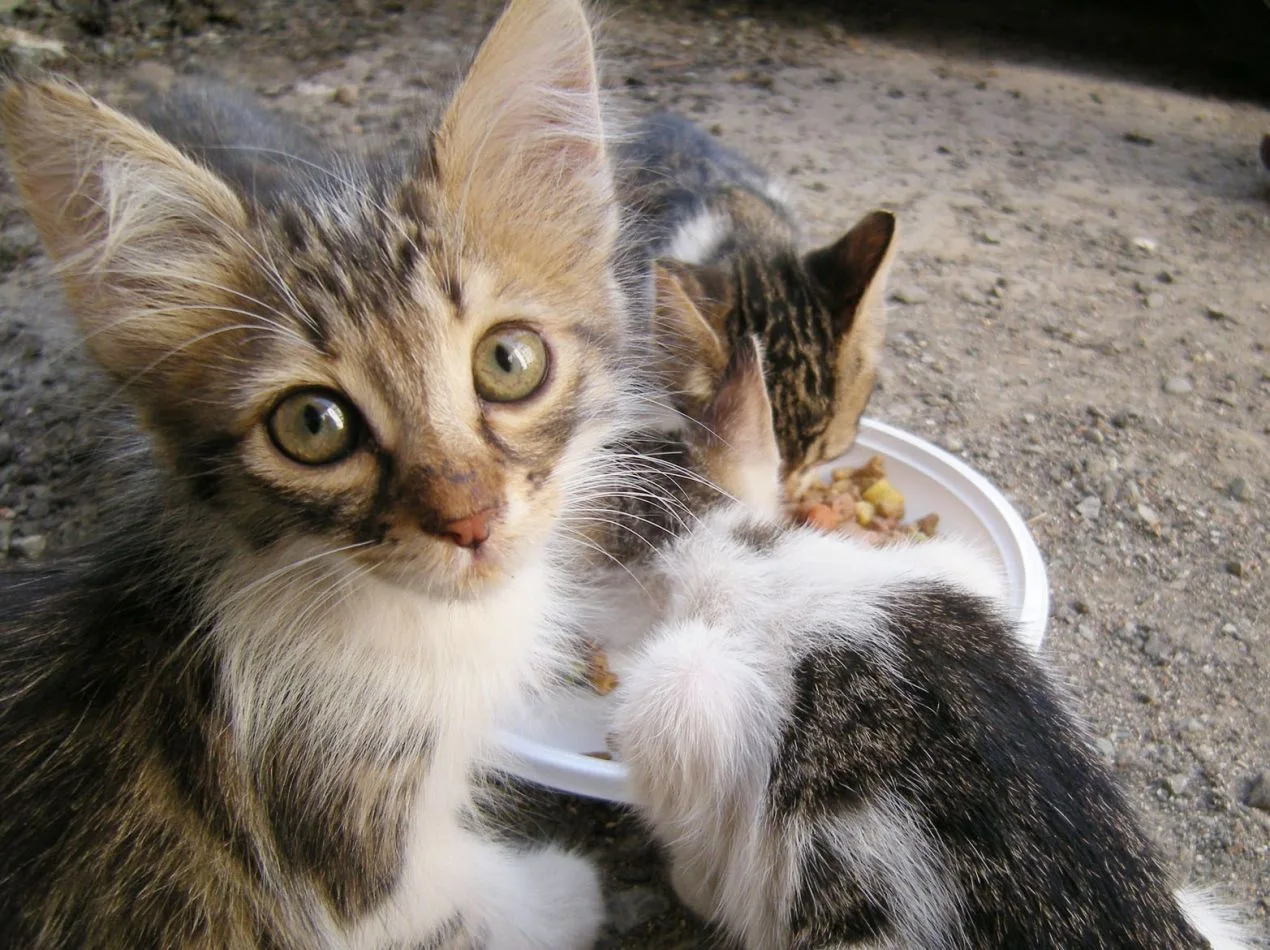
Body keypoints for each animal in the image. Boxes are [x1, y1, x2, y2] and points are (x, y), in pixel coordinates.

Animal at [0, 1, 635, 950]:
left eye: (509, 361)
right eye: (313, 424)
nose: (471, 520)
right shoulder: (358, 863)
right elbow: (464, 896)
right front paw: (563, 896)